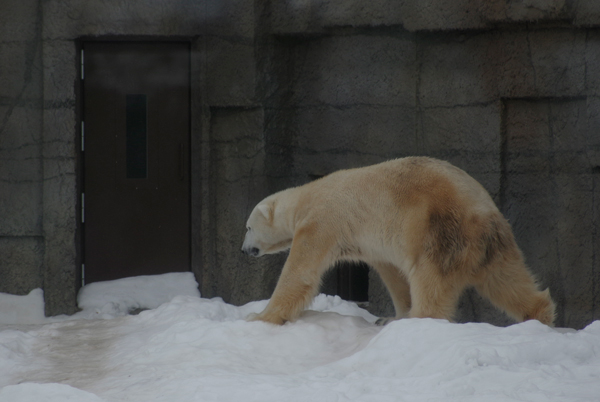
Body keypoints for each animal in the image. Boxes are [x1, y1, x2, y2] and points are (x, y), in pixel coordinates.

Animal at [240, 157, 556, 326]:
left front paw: (258, 316)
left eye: (247, 227)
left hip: (437, 231)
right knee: (507, 281)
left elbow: (299, 273)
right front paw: (394, 314)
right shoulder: (373, 244)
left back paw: (419, 319)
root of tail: (482, 213)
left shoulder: (322, 221)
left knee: (430, 280)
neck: (305, 198)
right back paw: (539, 313)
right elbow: (392, 274)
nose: (243, 250)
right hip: (495, 243)